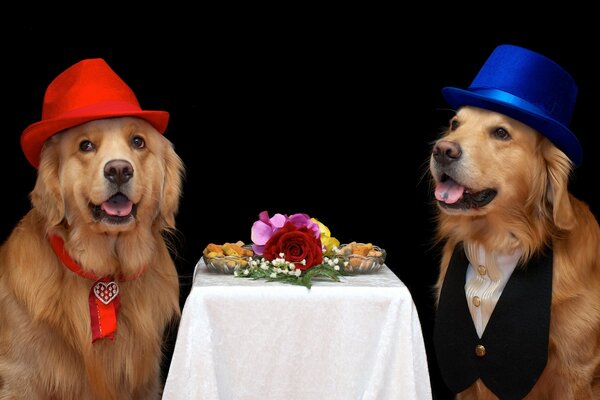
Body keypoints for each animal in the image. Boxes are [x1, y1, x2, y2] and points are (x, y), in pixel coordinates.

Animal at [0, 59, 183, 400]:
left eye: (138, 142)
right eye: (85, 145)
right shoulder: (20, 379)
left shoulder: (145, 380)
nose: (119, 169)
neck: (106, 269)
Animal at [428, 44, 596, 400]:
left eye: (501, 132)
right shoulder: (465, 374)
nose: (442, 150)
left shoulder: (576, 369)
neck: (494, 243)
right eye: (454, 124)